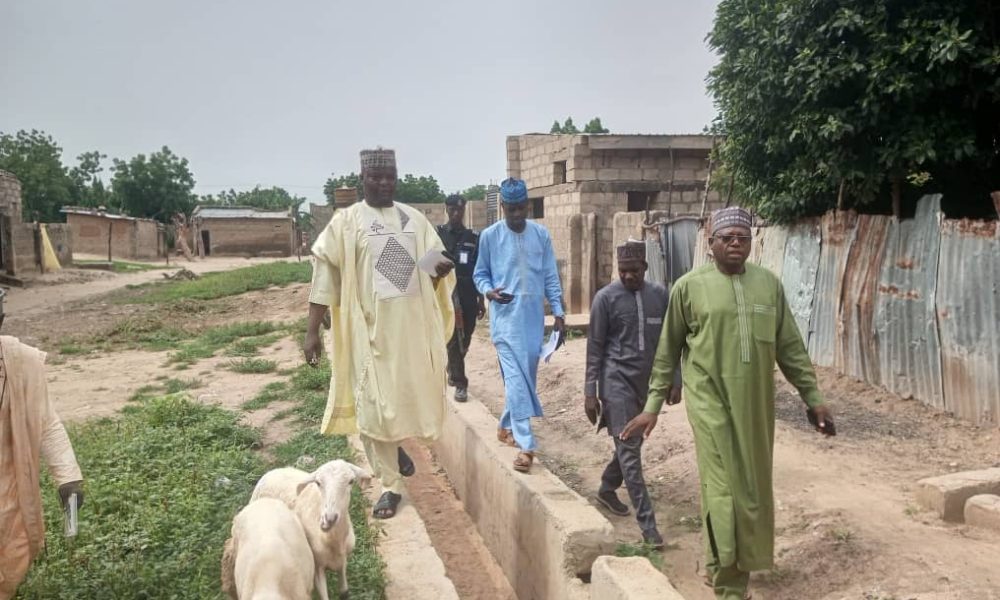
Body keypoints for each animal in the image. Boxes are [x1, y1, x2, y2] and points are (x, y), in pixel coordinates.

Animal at [251, 459, 371, 600]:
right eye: (318, 483)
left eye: (351, 481)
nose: (329, 518)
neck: (332, 540)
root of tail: (274, 471)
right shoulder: (317, 567)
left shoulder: (343, 560)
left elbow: (344, 592)